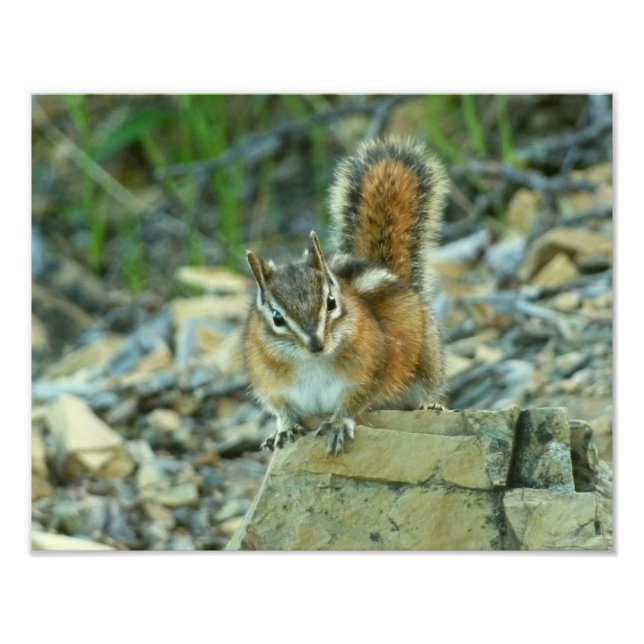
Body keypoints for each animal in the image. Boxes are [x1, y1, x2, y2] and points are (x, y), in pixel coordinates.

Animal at [243, 136, 449, 455]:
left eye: (330, 303)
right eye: (277, 317)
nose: (316, 344)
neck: (312, 363)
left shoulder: (369, 372)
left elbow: (354, 401)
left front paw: (338, 423)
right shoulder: (270, 383)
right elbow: (281, 408)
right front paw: (284, 428)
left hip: (427, 363)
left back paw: (430, 405)